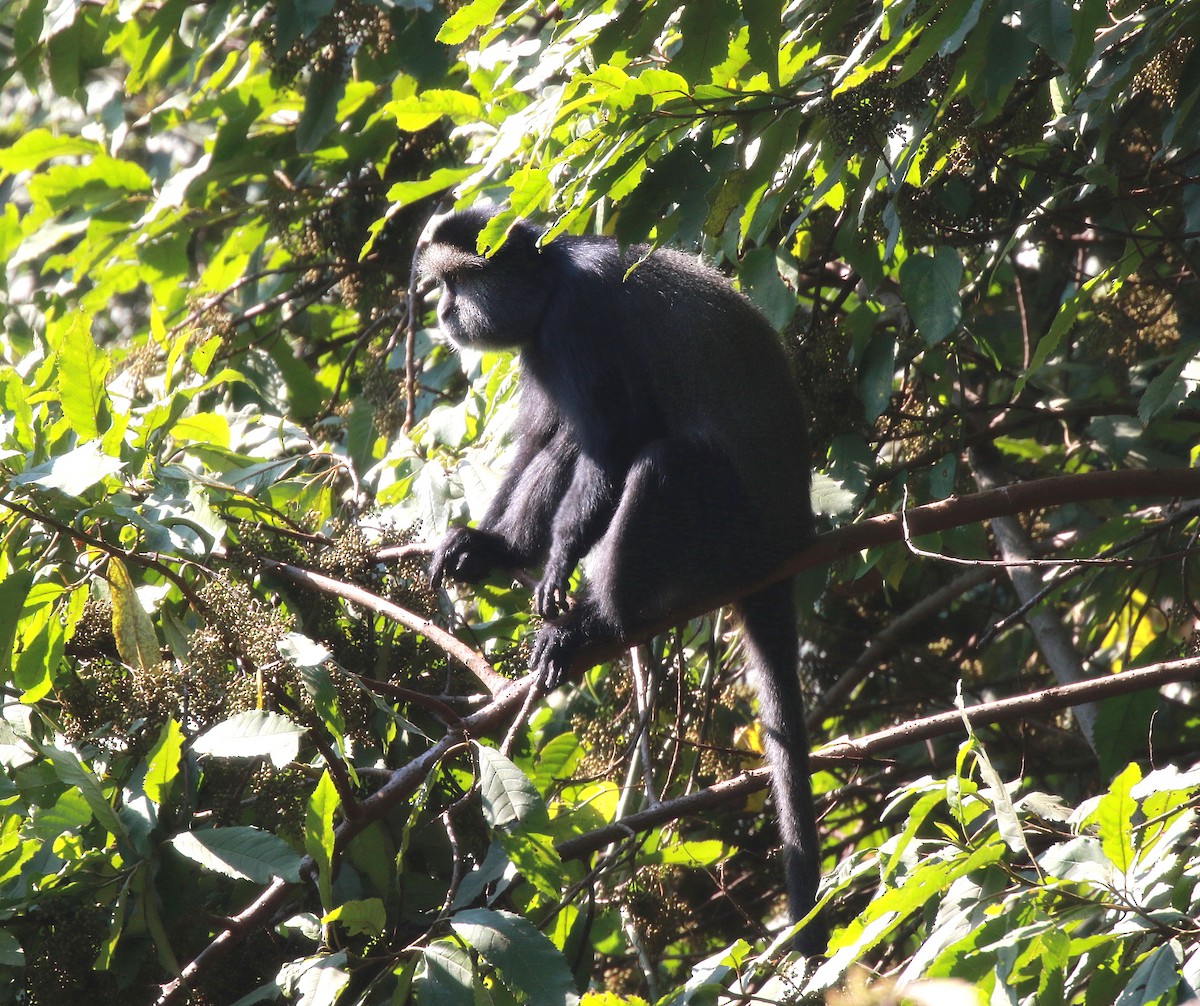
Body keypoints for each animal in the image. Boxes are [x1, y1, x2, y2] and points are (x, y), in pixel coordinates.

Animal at [419, 206, 826, 955]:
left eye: (455, 283)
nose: (440, 310)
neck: (552, 275)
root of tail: (789, 546)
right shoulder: (539, 349)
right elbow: (544, 439)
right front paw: (491, 547)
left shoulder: (576, 323)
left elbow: (616, 440)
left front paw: (557, 567)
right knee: (571, 443)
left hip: (730, 538)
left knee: (663, 460)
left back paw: (596, 621)